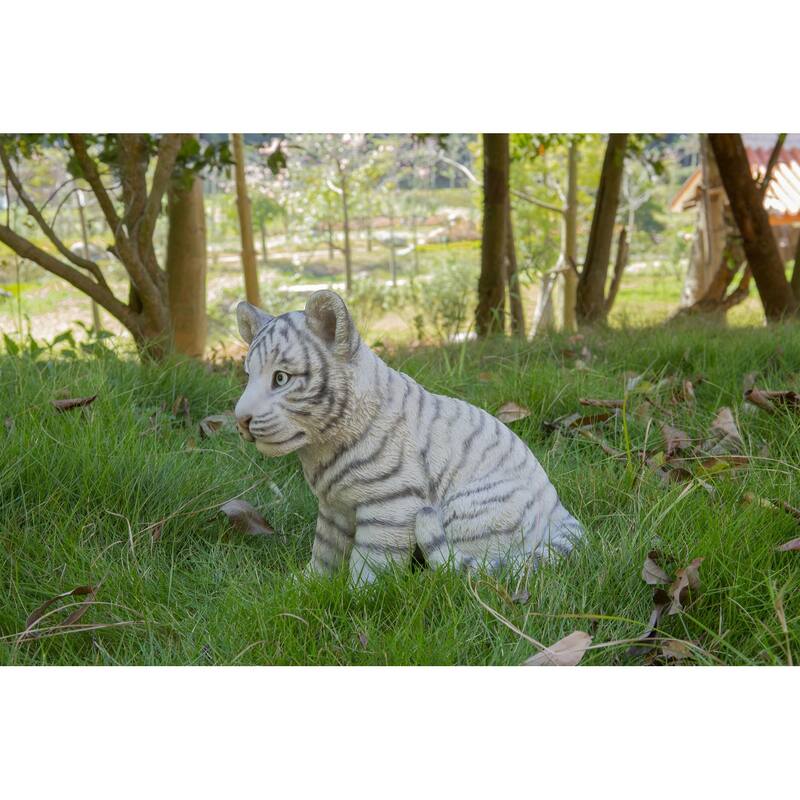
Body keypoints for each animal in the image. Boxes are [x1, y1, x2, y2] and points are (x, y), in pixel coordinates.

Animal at [234, 290, 583, 586]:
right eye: (248, 376)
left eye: (281, 378)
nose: (240, 420)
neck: (322, 447)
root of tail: (563, 517)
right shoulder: (334, 507)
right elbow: (325, 552)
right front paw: (305, 586)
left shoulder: (390, 505)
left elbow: (370, 563)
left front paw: (357, 598)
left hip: (470, 511)